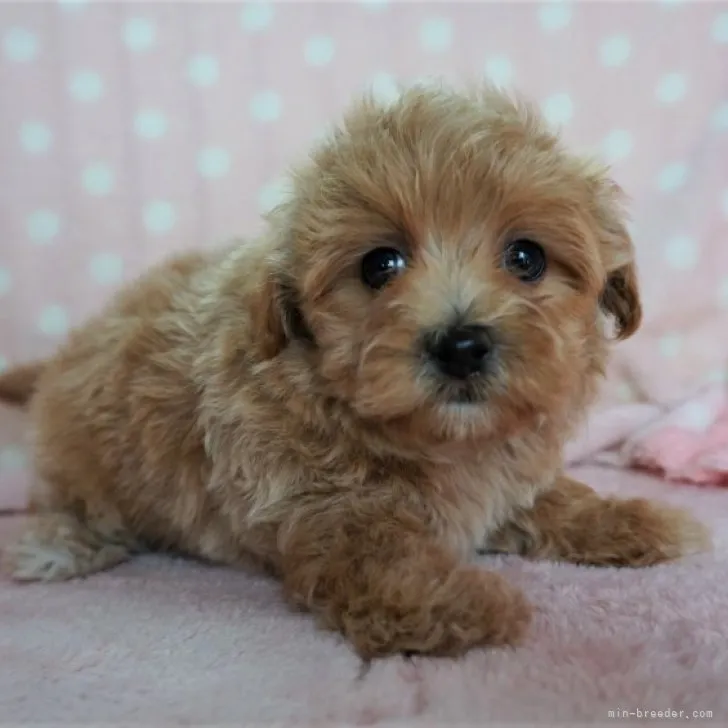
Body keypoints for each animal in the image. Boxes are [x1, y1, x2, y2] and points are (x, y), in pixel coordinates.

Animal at [0, 82, 708, 656]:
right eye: (379, 265)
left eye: (527, 257)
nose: (461, 345)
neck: (439, 442)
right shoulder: (321, 514)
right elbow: (381, 560)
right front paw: (467, 602)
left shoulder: (504, 481)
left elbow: (559, 500)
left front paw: (637, 520)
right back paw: (52, 548)